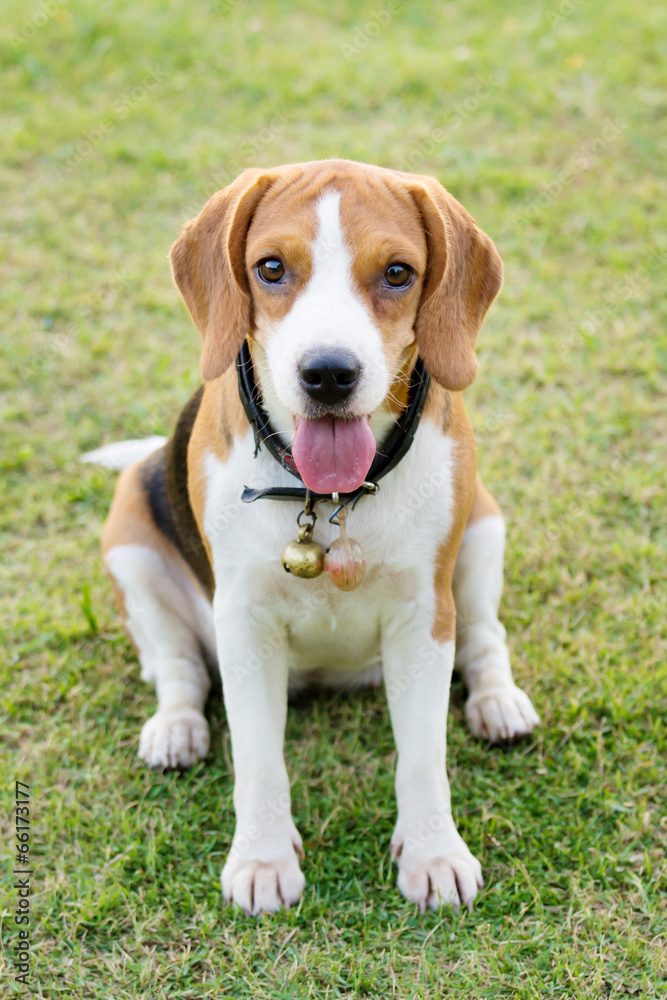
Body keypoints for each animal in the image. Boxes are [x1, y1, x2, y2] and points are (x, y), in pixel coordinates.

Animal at [87, 160, 536, 916]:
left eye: (397, 273)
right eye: (270, 268)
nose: (328, 374)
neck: (325, 500)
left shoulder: (422, 618)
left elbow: (423, 758)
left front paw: (433, 854)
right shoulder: (243, 623)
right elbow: (259, 760)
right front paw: (262, 860)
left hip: (482, 527)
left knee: (485, 636)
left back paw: (497, 702)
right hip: (130, 544)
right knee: (175, 667)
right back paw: (176, 727)